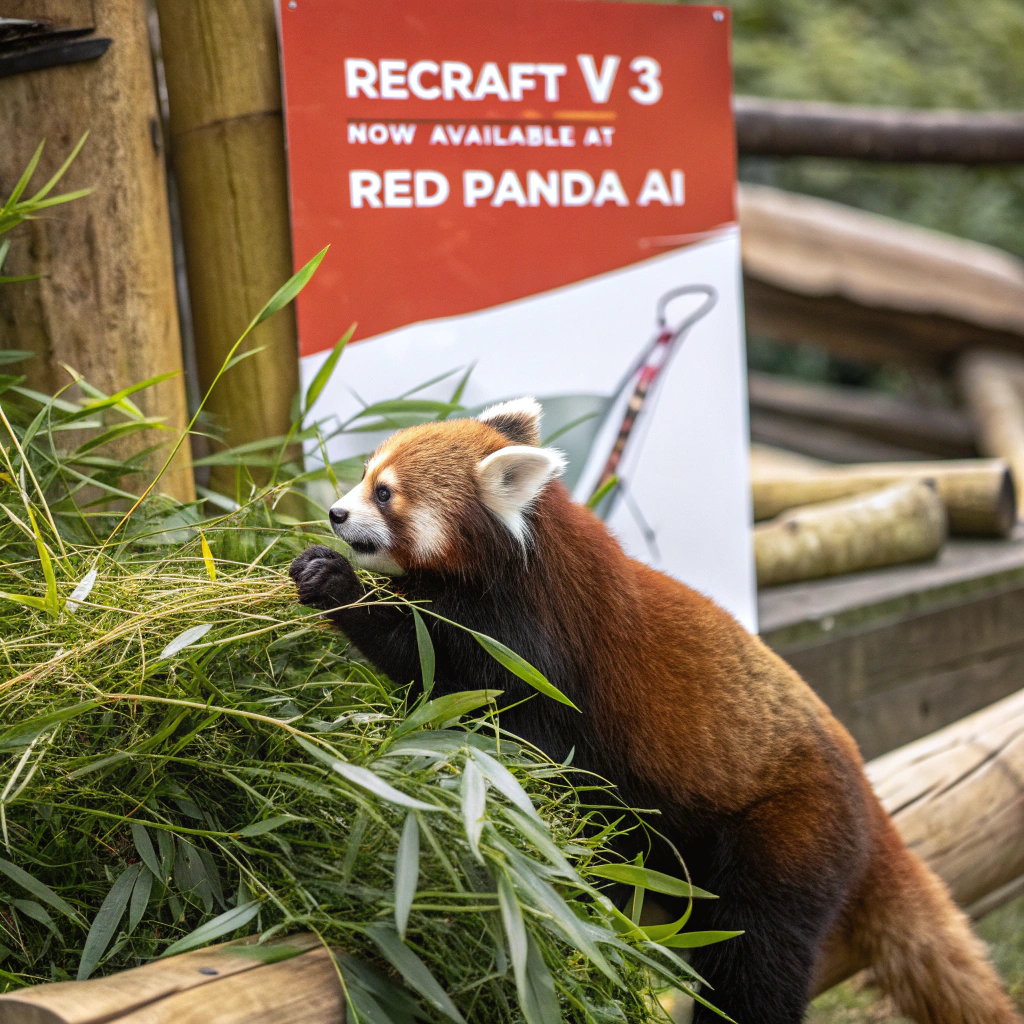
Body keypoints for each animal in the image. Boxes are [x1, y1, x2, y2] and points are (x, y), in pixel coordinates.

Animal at [290, 397, 1019, 1024]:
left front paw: (336, 583)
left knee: (756, 953)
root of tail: (865, 789)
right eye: (364, 475)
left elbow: (463, 683)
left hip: (789, 828)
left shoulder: (533, 641)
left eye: (385, 493)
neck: (518, 556)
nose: (334, 514)